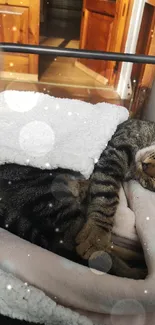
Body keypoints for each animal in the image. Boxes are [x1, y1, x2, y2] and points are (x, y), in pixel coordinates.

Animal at [0, 117, 154, 280]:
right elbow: (106, 196)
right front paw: (97, 234)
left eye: (147, 182)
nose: (145, 166)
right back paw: (134, 271)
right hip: (53, 198)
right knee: (81, 251)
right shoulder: (114, 151)